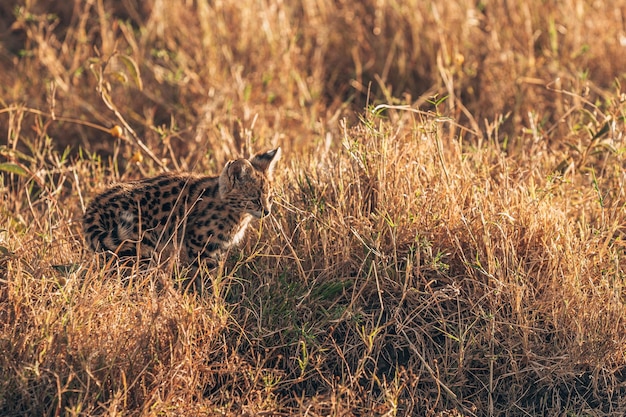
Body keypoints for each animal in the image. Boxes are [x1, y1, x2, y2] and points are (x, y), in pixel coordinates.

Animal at [82, 147, 280, 266]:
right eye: (255, 199)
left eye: (270, 198)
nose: (267, 212)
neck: (238, 214)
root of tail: (94, 205)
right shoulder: (200, 245)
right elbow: (206, 279)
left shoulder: (218, 249)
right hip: (139, 248)